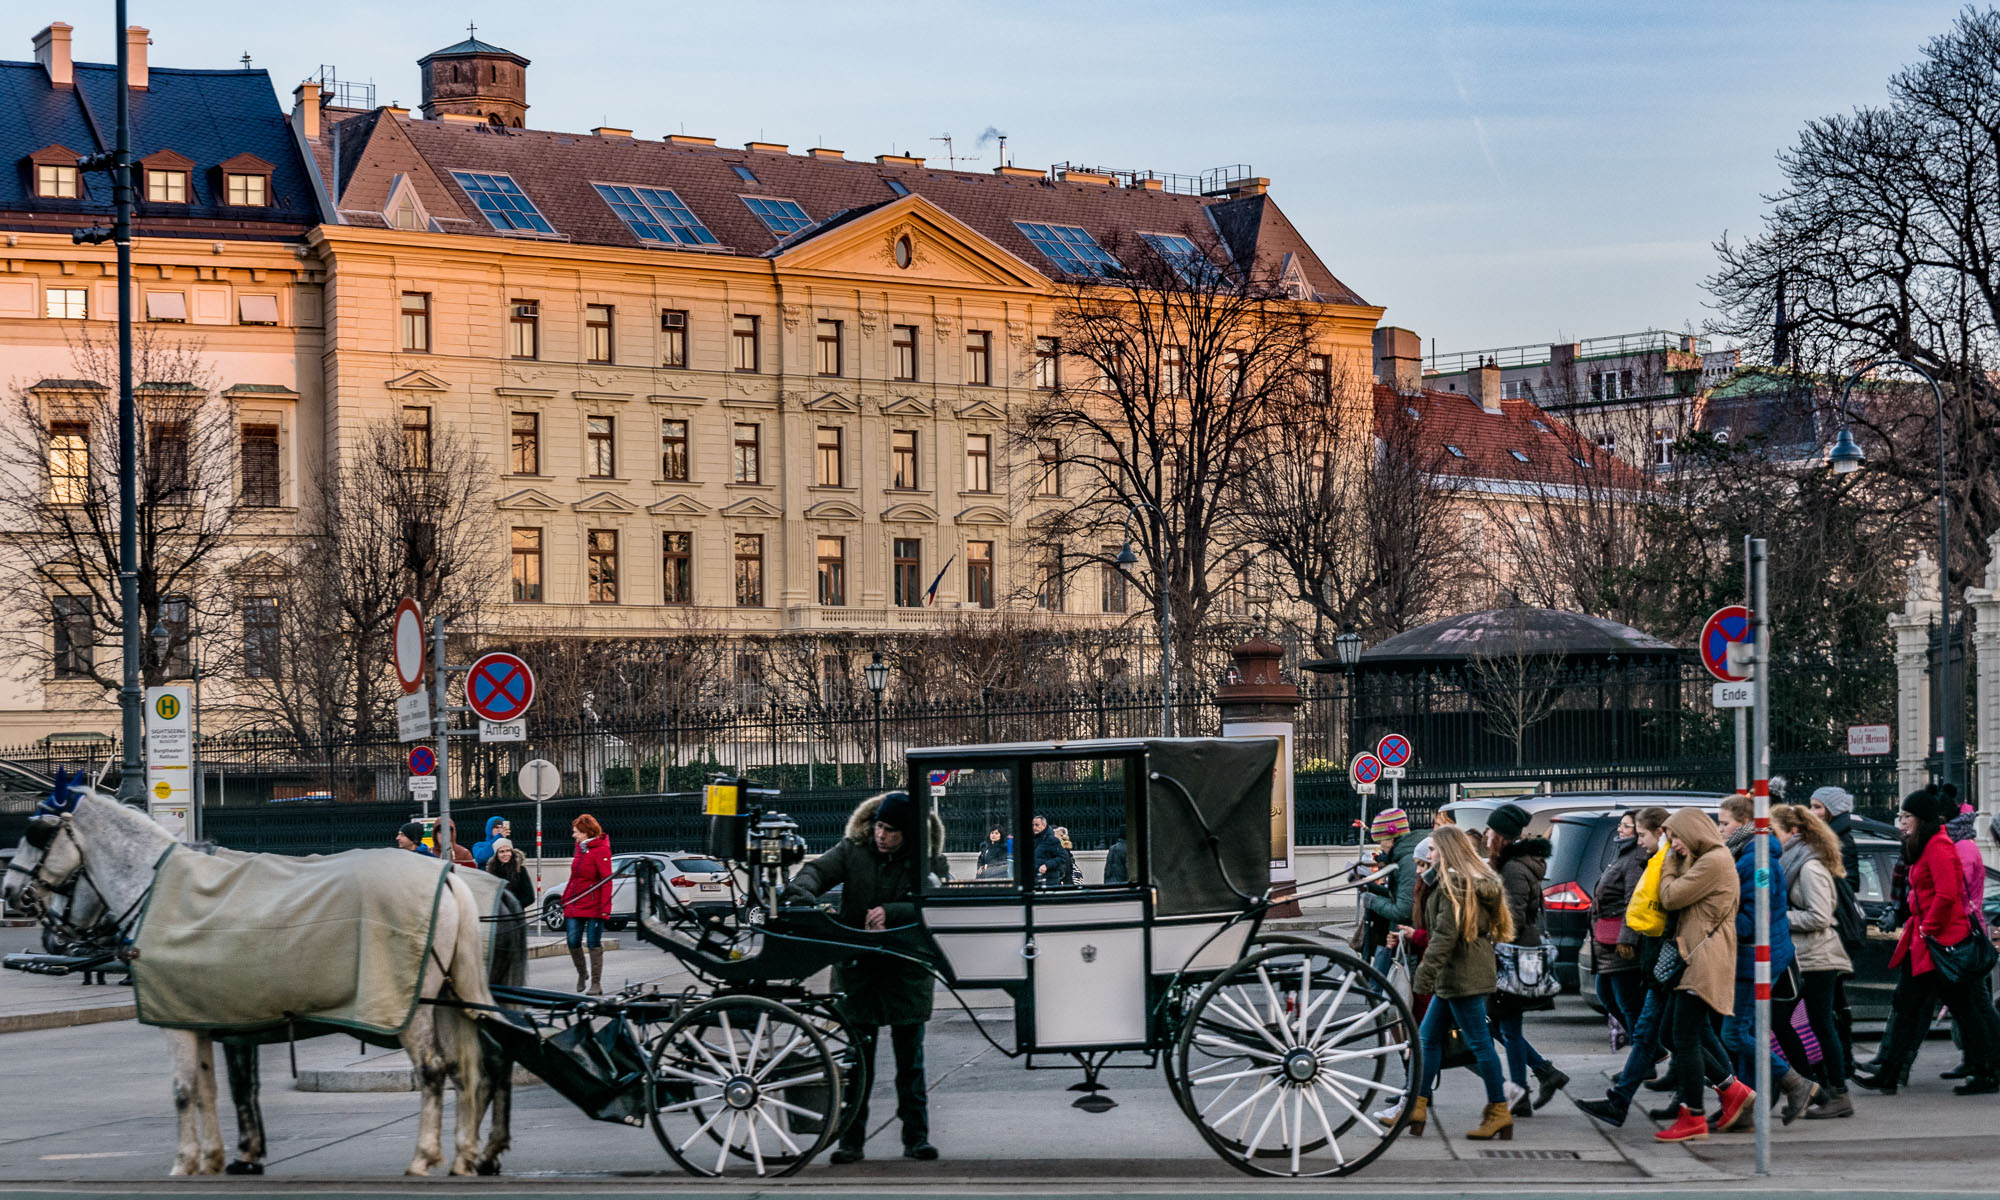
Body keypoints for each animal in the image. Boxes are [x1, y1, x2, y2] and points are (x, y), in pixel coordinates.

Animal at [3, 784, 520, 1176]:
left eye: (36, 834)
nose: (11, 892)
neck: (161, 890)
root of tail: (451, 879)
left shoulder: (182, 1022)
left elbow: (186, 1090)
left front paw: (187, 1161)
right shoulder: (204, 1015)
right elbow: (214, 1088)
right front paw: (219, 1157)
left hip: (410, 1005)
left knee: (438, 1070)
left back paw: (427, 1157)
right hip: (449, 1001)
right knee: (472, 1068)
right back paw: (468, 1154)